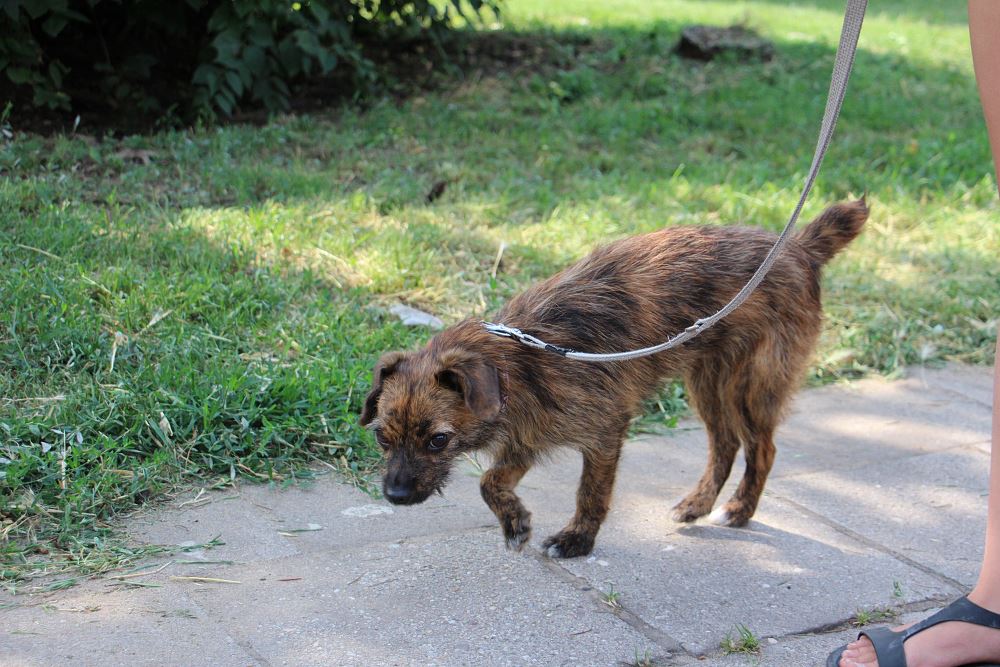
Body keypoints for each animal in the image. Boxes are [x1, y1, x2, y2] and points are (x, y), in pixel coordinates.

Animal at [360, 199, 868, 558]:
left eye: (438, 440)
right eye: (383, 438)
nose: (395, 496)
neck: (519, 364)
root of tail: (798, 246)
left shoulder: (603, 434)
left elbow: (591, 493)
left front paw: (577, 540)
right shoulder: (527, 437)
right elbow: (490, 481)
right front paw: (515, 522)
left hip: (751, 386)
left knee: (761, 448)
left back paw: (739, 510)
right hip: (707, 383)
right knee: (724, 444)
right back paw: (697, 504)